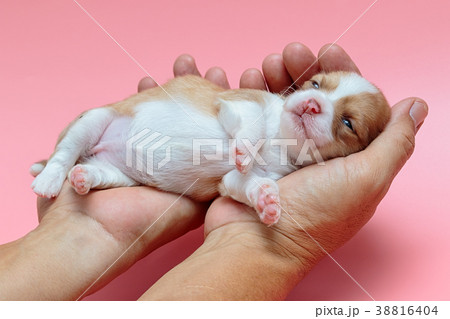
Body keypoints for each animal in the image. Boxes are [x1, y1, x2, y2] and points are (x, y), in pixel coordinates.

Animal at [30, 72, 390, 226]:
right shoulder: (239, 102)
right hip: (94, 119)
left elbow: (248, 182)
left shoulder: (233, 180)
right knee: (64, 153)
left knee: (96, 171)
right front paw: (244, 147)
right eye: (315, 84)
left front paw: (266, 200)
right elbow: (252, 122)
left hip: (120, 175)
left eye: (348, 123)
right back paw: (49, 179)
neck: (281, 138)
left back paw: (83, 178)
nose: (313, 103)